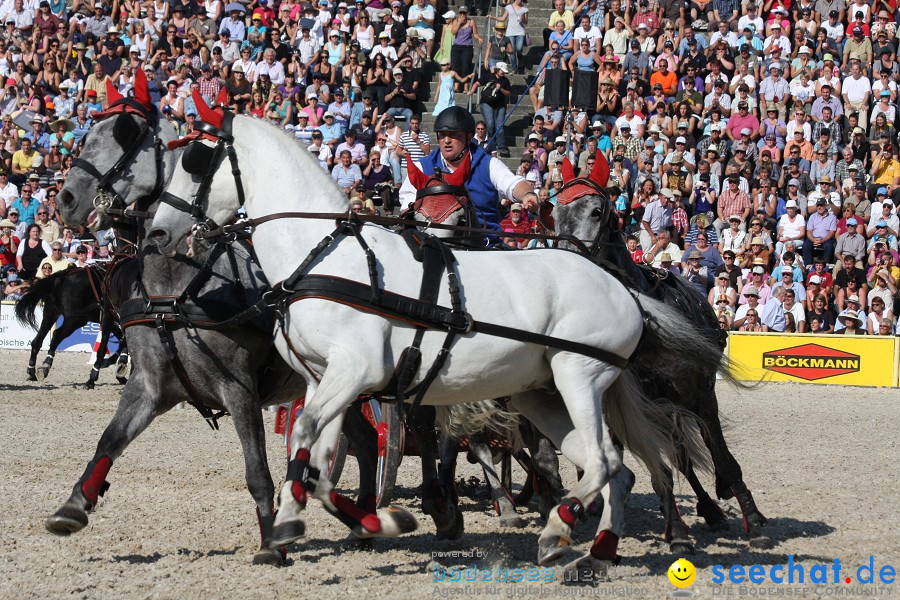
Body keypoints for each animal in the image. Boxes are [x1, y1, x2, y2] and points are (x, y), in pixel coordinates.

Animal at [149, 104, 716, 568]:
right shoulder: (323, 381)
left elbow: (312, 439)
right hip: (542, 395)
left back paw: (562, 529)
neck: (324, 256)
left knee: (604, 460)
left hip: (578, 377)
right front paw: (322, 522)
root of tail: (624, 290)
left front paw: (377, 519)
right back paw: (596, 550)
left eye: (196, 161)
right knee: (613, 467)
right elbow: (313, 456)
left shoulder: (355, 371)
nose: (155, 232)